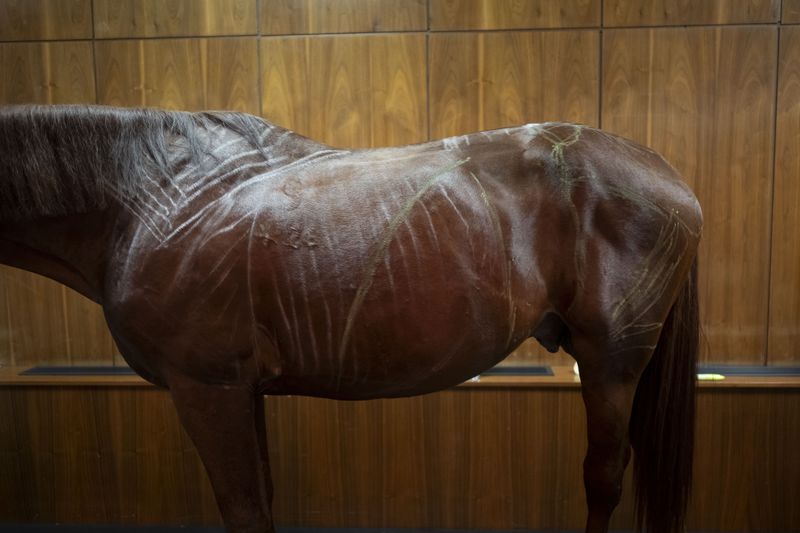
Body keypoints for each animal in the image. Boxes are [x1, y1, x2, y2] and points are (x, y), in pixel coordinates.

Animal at [0, 105, 700, 532]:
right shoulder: (241, 391)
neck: (154, 197)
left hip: (612, 362)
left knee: (603, 477)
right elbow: (262, 501)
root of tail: (669, 175)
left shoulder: (207, 389)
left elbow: (242, 509)